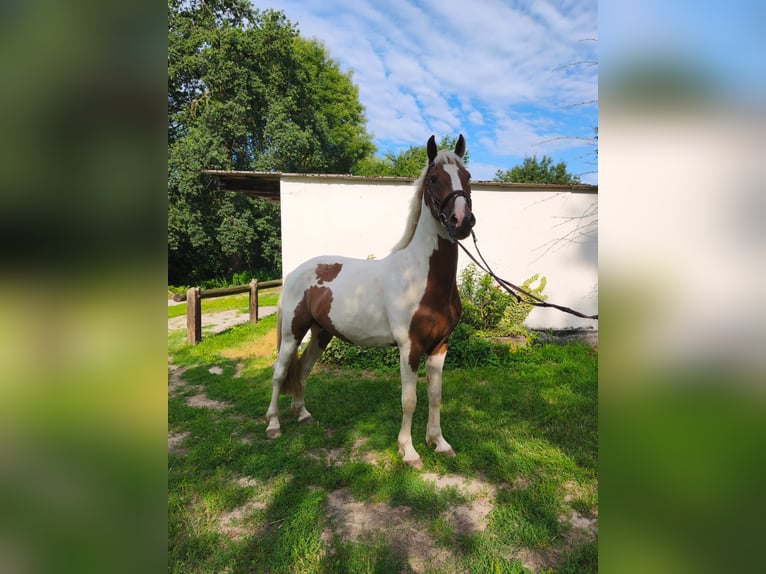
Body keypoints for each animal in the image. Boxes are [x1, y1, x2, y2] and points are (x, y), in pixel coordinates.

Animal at [265, 135, 476, 469]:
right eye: (434, 179)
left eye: (467, 177)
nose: (462, 221)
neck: (422, 278)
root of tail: (297, 272)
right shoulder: (409, 347)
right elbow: (409, 400)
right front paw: (409, 451)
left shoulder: (440, 346)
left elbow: (435, 396)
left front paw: (439, 443)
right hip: (292, 334)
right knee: (280, 371)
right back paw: (273, 424)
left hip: (321, 333)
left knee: (303, 370)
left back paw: (303, 414)